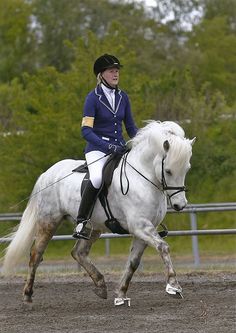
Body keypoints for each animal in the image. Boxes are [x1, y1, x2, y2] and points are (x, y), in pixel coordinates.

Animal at [1, 119, 195, 304]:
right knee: (36, 255)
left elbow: (133, 262)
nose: (180, 205)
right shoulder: (140, 226)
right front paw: (173, 286)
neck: (142, 178)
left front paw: (121, 294)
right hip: (49, 222)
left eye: (186, 169)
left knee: (78, 252)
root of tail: (47, 174)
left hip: (93, 227)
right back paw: (27, 295)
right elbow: (163, 247)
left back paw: (100, 284)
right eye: (168, 171)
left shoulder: (144, 230)